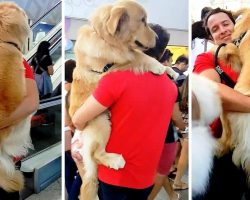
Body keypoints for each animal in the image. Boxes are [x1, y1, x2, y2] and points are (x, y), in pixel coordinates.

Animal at [69, 0, 169, 199]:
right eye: (142, 20)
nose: (156, 37)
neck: (104, 38)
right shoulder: (111, 65)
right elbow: (138, 56)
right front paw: (158, 66)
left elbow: (136, 54)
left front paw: (171, 71)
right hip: (101, 121)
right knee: (96, 154)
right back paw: (114, 160)